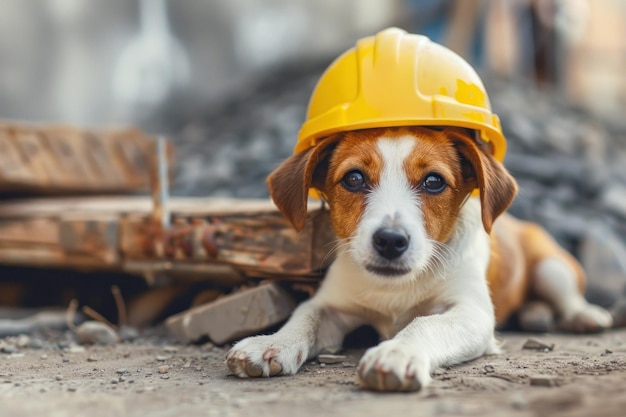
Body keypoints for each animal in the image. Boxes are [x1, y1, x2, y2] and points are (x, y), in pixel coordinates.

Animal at [224, 126, 608, 390]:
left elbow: (425, 323)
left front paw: (397, 352)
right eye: (354, 178)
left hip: (552, 267)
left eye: (434, 181)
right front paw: (272, 343)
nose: (391, 241)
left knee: (567, 294)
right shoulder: (333, 304)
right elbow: (305, 315)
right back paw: (534, 315)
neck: (396, 289)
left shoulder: (473, 313)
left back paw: (584, 316)